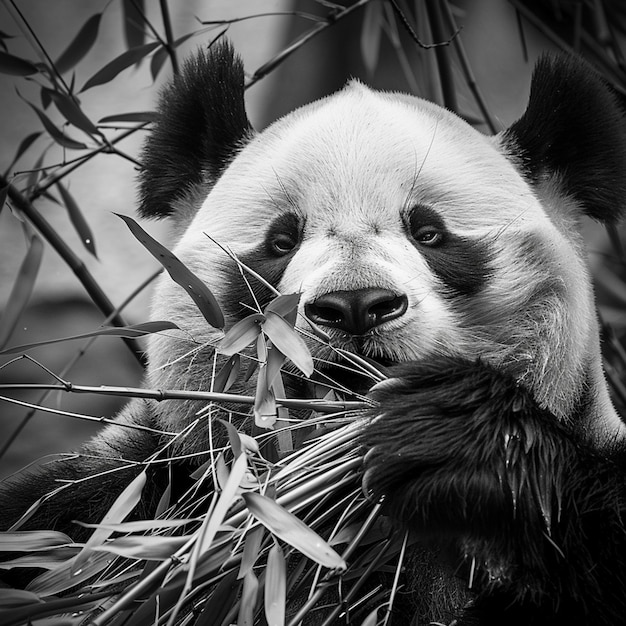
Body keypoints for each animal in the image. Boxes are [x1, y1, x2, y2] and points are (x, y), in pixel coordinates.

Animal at [1, 41, 624, 620]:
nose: (355, 306)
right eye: (281, 241)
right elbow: (56, 520)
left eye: (429, 232)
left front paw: (448, 430)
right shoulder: (146, 487)